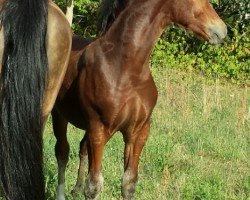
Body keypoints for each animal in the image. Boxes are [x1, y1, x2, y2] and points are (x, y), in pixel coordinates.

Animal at [52, 0, 227, 199]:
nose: (222, 30)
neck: (126, 67)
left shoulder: (139, 131)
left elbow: (129, 182)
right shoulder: (98, 129)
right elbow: (94, 186)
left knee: (81, 148)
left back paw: (76, 188)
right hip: (59, 114)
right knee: (62, 152)